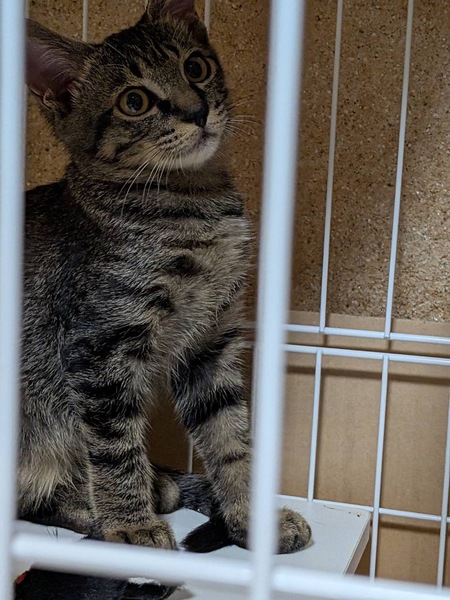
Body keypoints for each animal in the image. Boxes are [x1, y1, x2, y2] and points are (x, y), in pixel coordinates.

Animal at [21, 0, 311, 556]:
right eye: (134, 101)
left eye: (195, 67)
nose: (195, 110)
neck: (193, 206)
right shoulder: (98, 347)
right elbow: (114, 447)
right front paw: (130, 526)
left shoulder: (210, 343)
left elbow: (231, 439)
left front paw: (251, 518)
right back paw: (103, 507)